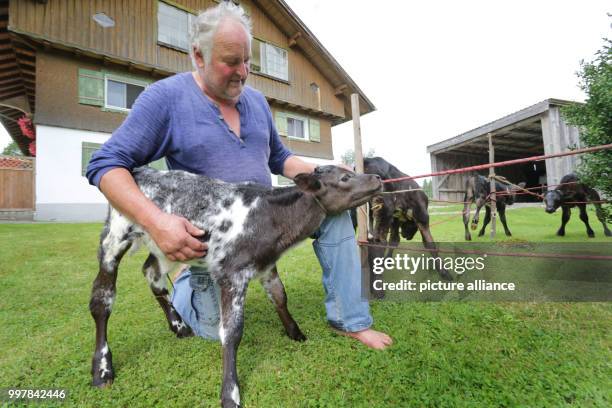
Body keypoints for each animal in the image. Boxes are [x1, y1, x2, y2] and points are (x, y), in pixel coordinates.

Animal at [88, 164, 380, 406]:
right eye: (344, 178)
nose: (377, 178)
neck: (270, 219)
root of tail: (142, 171)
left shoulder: (266, 265)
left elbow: (280, 296)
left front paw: (295, 332)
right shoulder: (231, 272)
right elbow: (231, 331)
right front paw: (230, 393)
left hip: (165, 246)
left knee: (152, 274)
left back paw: (179, 326)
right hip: (115, 236)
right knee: (102, 299)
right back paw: (102, 369)